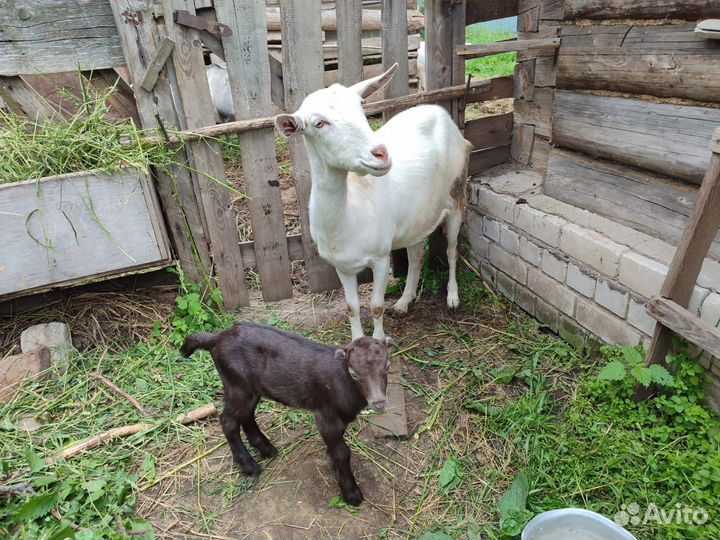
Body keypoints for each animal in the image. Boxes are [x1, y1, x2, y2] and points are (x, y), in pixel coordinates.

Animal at [181, 322, 392, 506]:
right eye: (354, 373)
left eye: (387, 367)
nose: (379, 402)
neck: (344, 382)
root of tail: (217, 338)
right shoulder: (327, 416)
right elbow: (342, 452)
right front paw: (351, 494)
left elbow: (336, 449)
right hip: (236, 384)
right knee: (228, 421)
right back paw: (250, 466)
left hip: (252, 388)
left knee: (246, 414)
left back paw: (265, 449)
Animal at [274, 64, 472, 340]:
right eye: (319, 123)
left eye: (361, 106)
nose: (381, 153)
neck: (350, 214)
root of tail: (440, 111)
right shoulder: (342, 266)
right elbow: (352, 307)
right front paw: (358, 340)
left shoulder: (380, 257)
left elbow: (376, 306)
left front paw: (378, 341)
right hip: (416, 216)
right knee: (416, 255)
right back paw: (403, 303)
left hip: (457, 192)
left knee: (452, 249)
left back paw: (453, 298)